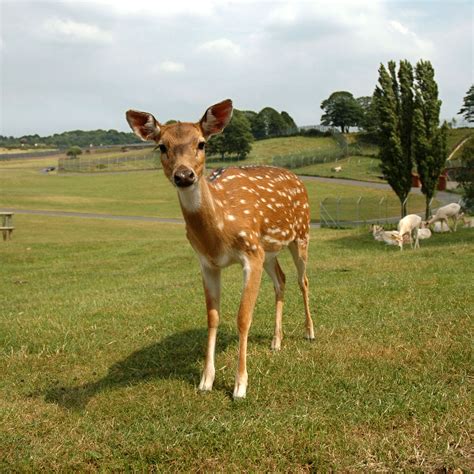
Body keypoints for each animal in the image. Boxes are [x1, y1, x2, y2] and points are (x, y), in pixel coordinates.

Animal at [127, 100, 314, 400]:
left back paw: (309, 332)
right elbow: (212, 317)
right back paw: (276, 341)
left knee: (303, 279)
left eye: (202, 143)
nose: (184, 175)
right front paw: (206, 379)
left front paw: (240, 385)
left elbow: (243, 317)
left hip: (301, 234)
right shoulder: (208, 263)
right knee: (281, 279)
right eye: (162, 146)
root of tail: (297, 177)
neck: (220, 232)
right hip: (269, 250)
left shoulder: (250, 253)